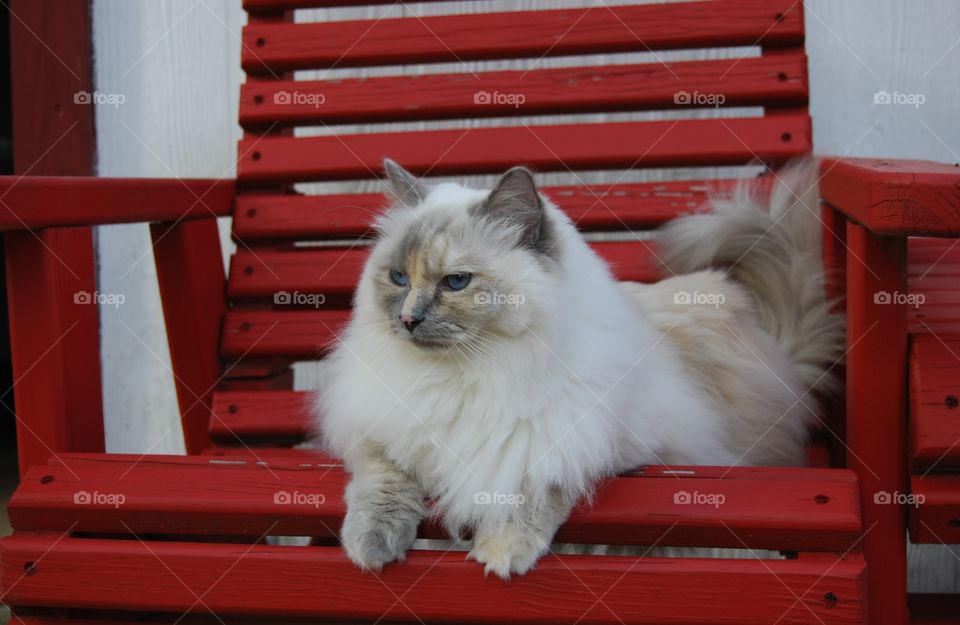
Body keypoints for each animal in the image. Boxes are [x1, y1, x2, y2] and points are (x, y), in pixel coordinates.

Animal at [314, 158, 840, 576]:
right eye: (398, 278)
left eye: (456, 282)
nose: (408, 320)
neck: (471, 373)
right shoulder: (379, 427)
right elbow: (383, 481)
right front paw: (371, 547)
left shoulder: (585, 439)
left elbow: (534, 482)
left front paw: (502, 552)